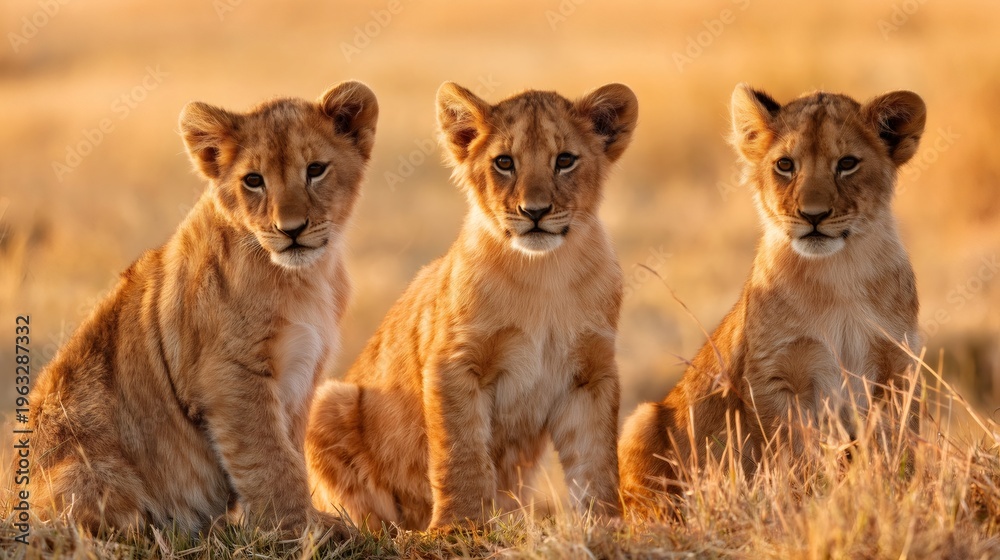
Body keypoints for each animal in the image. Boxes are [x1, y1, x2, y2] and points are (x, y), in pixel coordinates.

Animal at [28, 81, 378, 536]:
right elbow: (270, 460)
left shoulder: (304, 374)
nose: (292, 230)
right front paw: (302, 530)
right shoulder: (229, 373)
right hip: (90, 469)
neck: (306, 276)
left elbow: (290, 452)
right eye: (253, 181)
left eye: (316, 169)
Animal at [305, 82, 638, 531]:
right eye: (504, 162)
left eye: (565, 160)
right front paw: (458, 527)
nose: (535, 212)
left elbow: (596, 463)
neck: (545, 273)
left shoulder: (591, 373)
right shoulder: (454, 362)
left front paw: (606, 527)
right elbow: (460, 452)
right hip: (329, 399)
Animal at [618, 84, 926, 513]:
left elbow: (895, 445)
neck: (838, 272)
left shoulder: (897, 368)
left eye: (847, 163)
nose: (813, 215)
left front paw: (894, 493)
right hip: (642, 420)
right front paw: (802, 502)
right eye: (785, 165)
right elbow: (791, 452)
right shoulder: (771, 374)